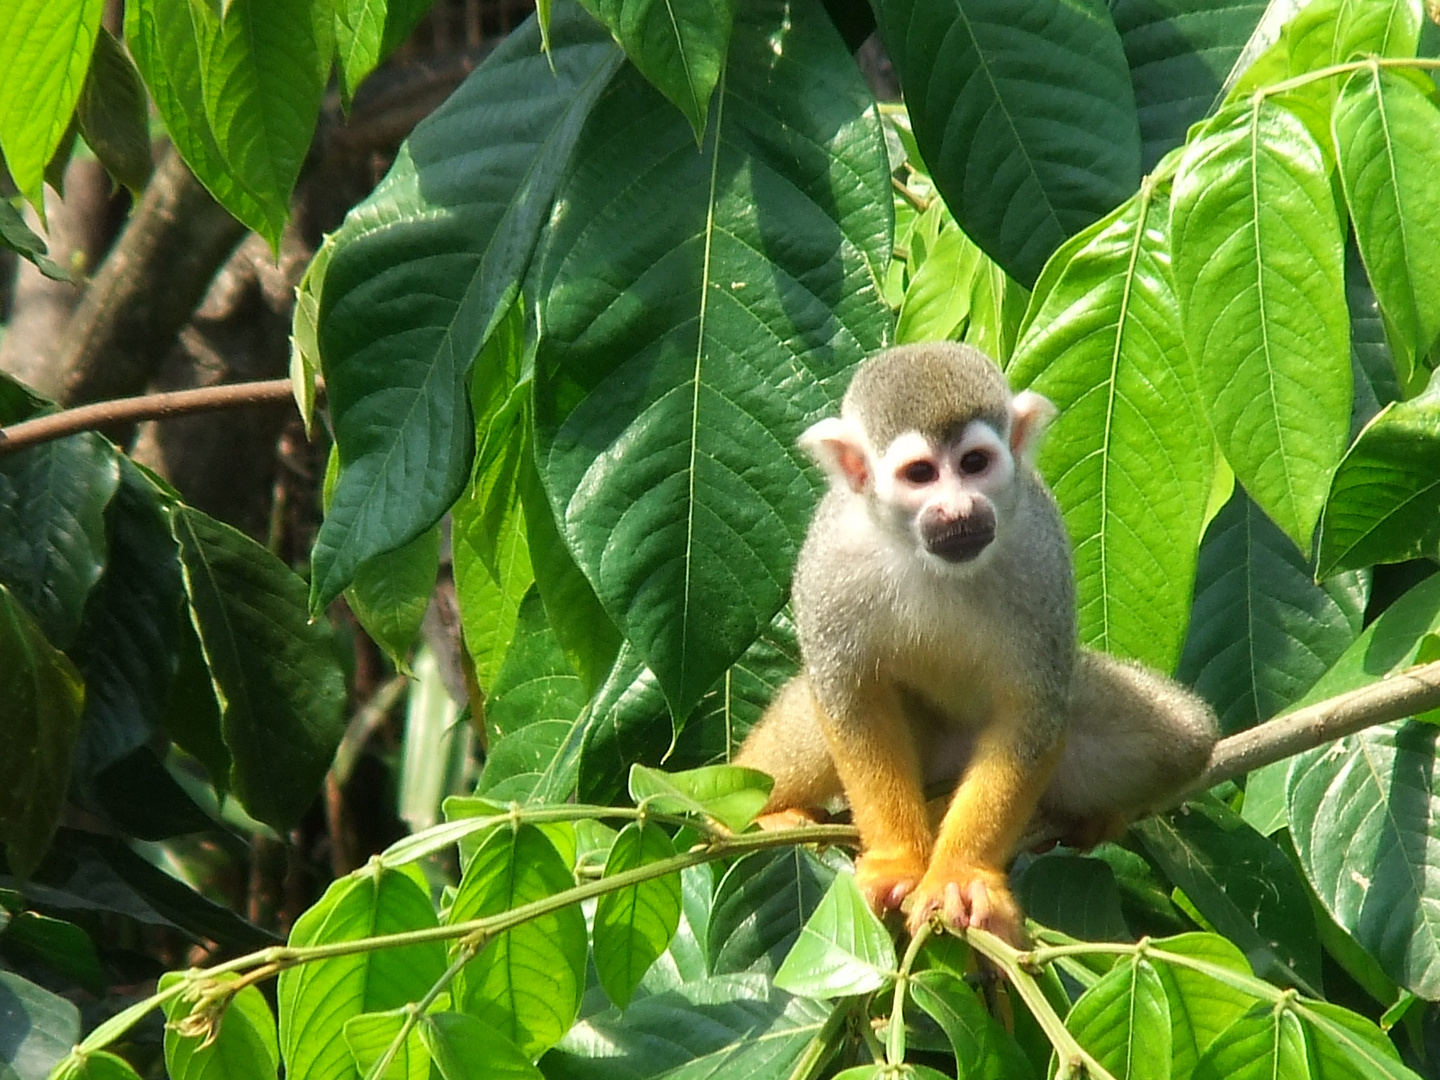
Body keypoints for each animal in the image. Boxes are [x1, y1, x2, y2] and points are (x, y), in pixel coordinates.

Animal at [737, 342, 1221, 944]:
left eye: (974, 464)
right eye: (920, 474)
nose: (959, 510)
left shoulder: (1040, 551)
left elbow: (1033, 711)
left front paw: (961, 877)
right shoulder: (831, 558)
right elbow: (851, 699)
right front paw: (898, 860)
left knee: (1183, 736)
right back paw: (764, 809)